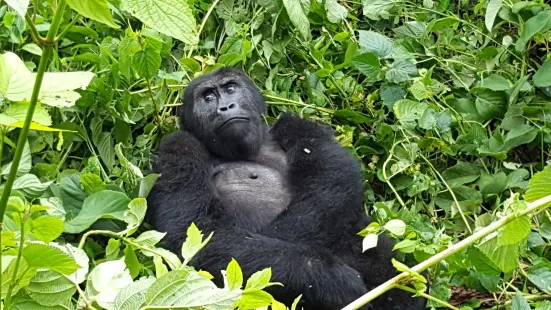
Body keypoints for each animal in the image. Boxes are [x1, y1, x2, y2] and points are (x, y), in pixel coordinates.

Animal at [146, 66, 426, 308]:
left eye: (230, 88)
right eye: (208, 97)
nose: (226, 106)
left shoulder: (298, 125)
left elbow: (333, 184)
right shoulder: (178, 146)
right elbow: (194, 232)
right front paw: (323, 275)